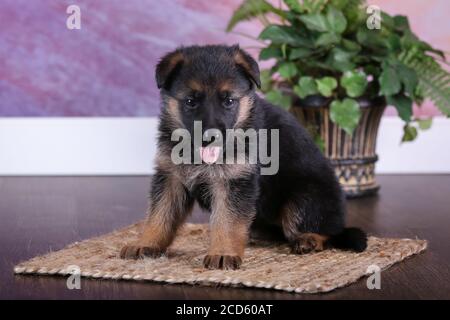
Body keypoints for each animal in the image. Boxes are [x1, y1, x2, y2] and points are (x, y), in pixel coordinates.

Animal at [121, 44, 368, 270]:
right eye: (190, 101)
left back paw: (309, 239)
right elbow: (158, 215)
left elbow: (226, 221)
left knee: (326, 231)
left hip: (303, 200)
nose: (210, 137)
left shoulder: (233, 181)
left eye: (228, 101)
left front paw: (223, 253)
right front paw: (146, 243)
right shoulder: (171, 178)